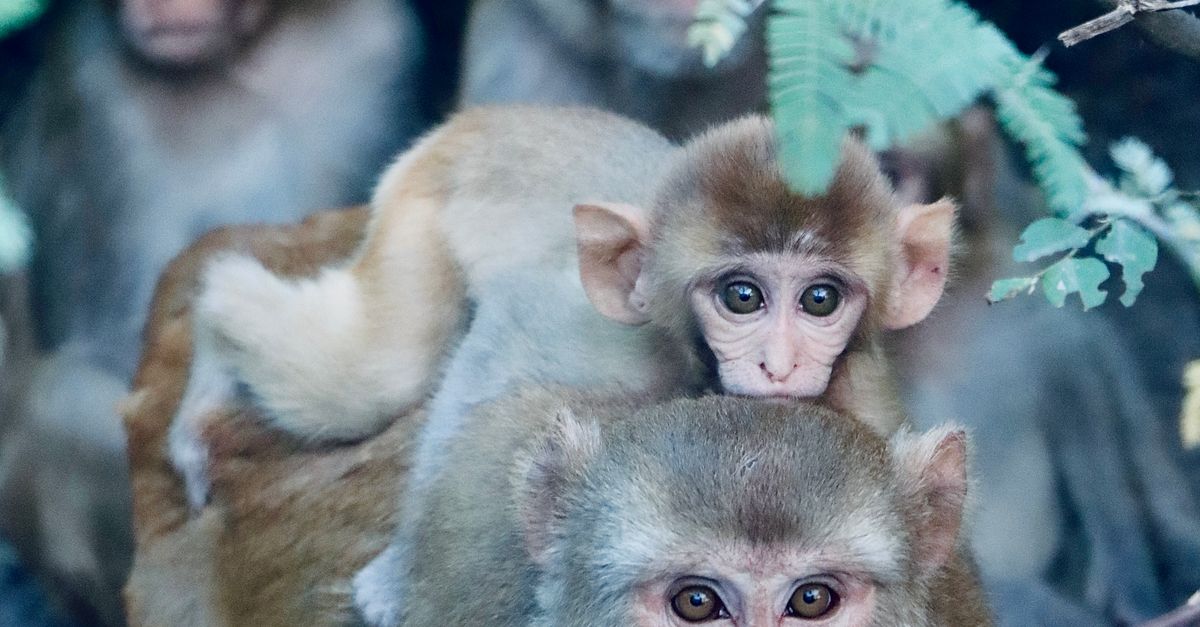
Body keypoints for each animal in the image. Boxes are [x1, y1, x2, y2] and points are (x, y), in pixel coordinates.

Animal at [168, 106, 956, 511]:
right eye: (743, 296)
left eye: (820, 299)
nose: (780, 363)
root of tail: (482, 119)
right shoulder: (618, 347)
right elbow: (502, 345)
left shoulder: (870, 401)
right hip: (417, 202)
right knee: (377, 373)